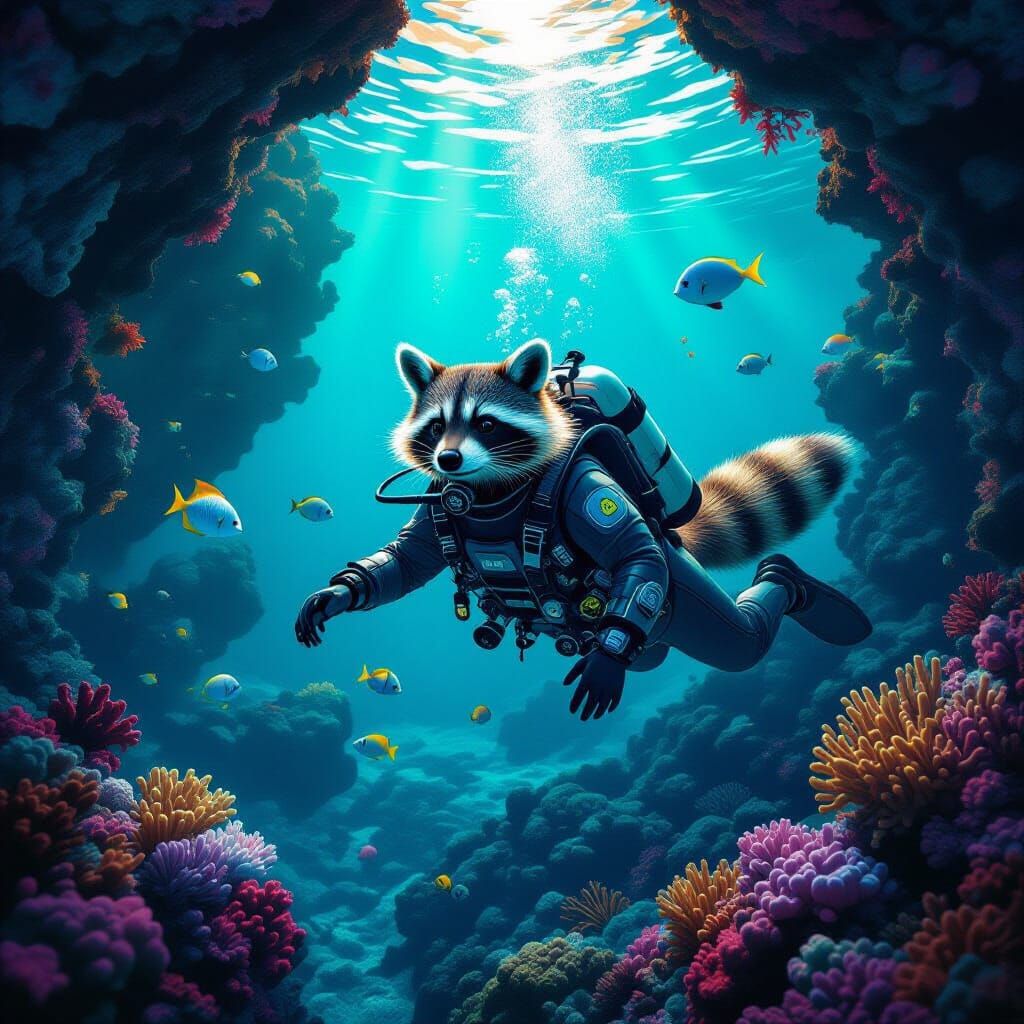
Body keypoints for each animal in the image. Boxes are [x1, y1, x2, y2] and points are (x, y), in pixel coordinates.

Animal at [391, 339, 853, 564]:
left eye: (486, 424)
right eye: (437, 427)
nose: (449, 460)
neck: (493, 493)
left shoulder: (583, 481)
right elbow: (408, 553)